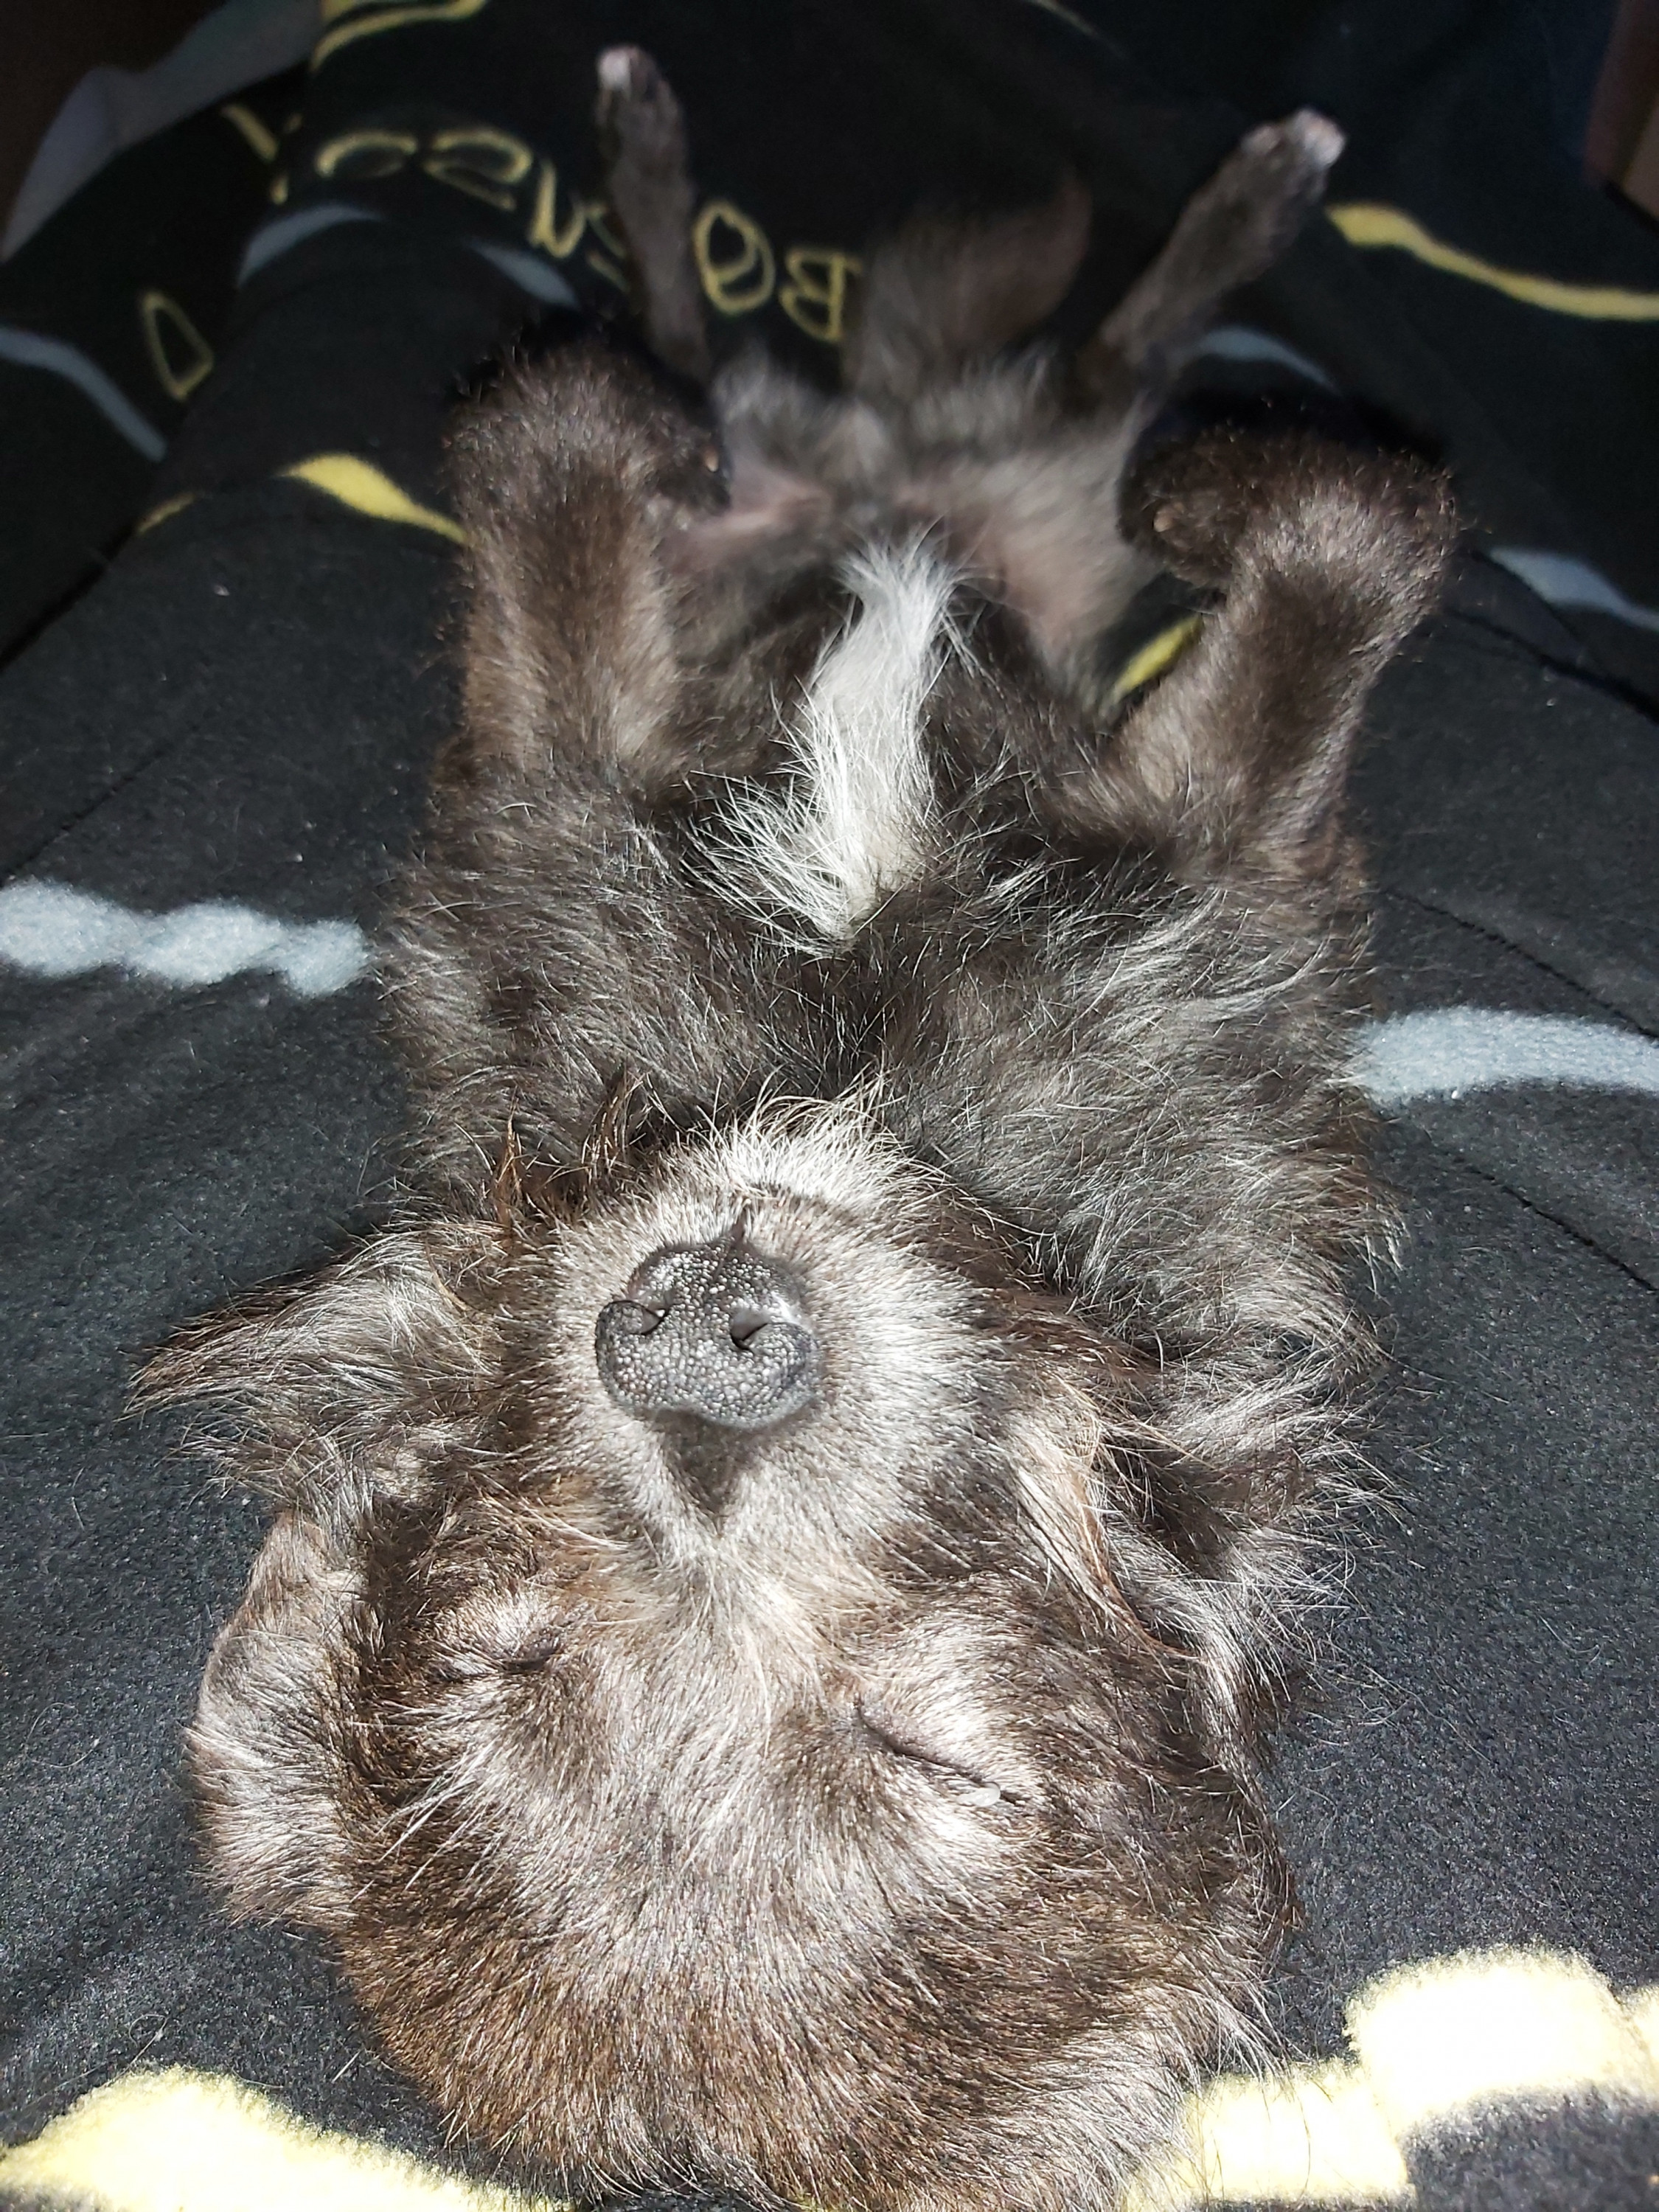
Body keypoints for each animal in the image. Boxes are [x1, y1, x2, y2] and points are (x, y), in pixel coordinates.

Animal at [150, 50, 1453, 2212]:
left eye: (932, 1754)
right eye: (503, 1657)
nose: (698, 1345)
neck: (847, 1080)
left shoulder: (1194, 901)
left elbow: (1354, 526)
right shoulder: (564, 786)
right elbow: (546, 469)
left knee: (1031, 378)